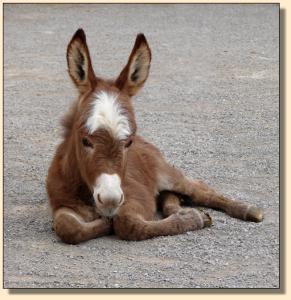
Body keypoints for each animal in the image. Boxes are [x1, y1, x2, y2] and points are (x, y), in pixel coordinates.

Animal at [46, 28, 264, 244]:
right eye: (85, 140)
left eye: (129, 142)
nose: (110, 200)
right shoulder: (62, 203)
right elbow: (68, 227)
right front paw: (103, 222)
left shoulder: (134, 197)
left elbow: (127, 223)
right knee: (171, 195)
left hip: (167, 173)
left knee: (199, 189)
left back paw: (248, 210)